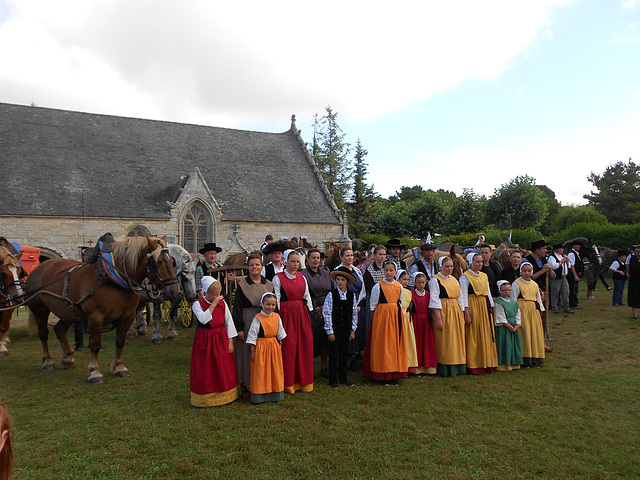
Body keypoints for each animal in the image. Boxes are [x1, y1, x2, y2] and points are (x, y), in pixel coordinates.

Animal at [25, 234, 180, 384]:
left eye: (172, 261)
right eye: (158, 262)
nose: (174, 292)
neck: (113, 278)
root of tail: (39, 267)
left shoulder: (127, 316)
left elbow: (120, 342)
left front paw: (119, 367)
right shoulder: (95, 318)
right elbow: (95, 345)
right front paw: (95, 373)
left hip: (68, 312)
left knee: (60, 330)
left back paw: (68, 359)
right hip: (40, 309)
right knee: (43, 334)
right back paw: (48, 362)